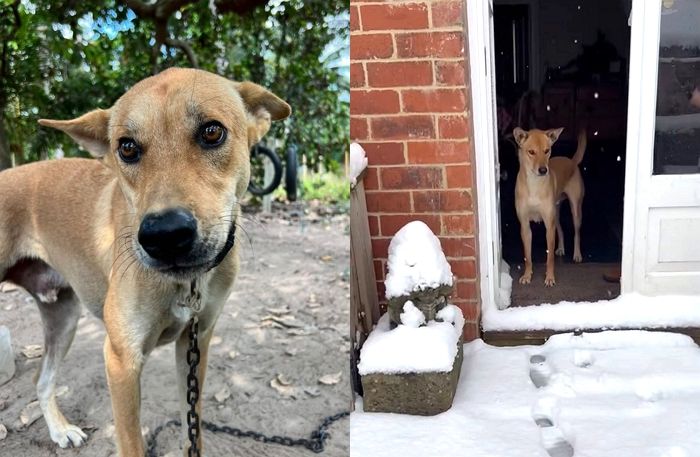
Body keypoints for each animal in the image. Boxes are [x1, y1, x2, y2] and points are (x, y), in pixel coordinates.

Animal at [0, 68, 290, 456]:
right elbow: (131, 441)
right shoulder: (121, 361)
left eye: (212, 131)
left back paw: (60, 430)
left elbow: (192, 426)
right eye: (127, 147)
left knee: (41, 378)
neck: (185, 285)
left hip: (63, 316)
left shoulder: (196, 344)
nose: (165, 236)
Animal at [516, 126, 584, 286]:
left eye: (547, 150)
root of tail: (571, 161)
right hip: (556, 214)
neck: (534, 184)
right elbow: (527, 256)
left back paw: (577, 254)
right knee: (560, 229)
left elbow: (550, 257)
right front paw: (527, 275)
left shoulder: (549, 226)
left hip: (575, 210)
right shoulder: (525, 226)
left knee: (577, 233)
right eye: (531, 152)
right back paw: (561, 248)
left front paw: (550, 277)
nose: (543, 170)